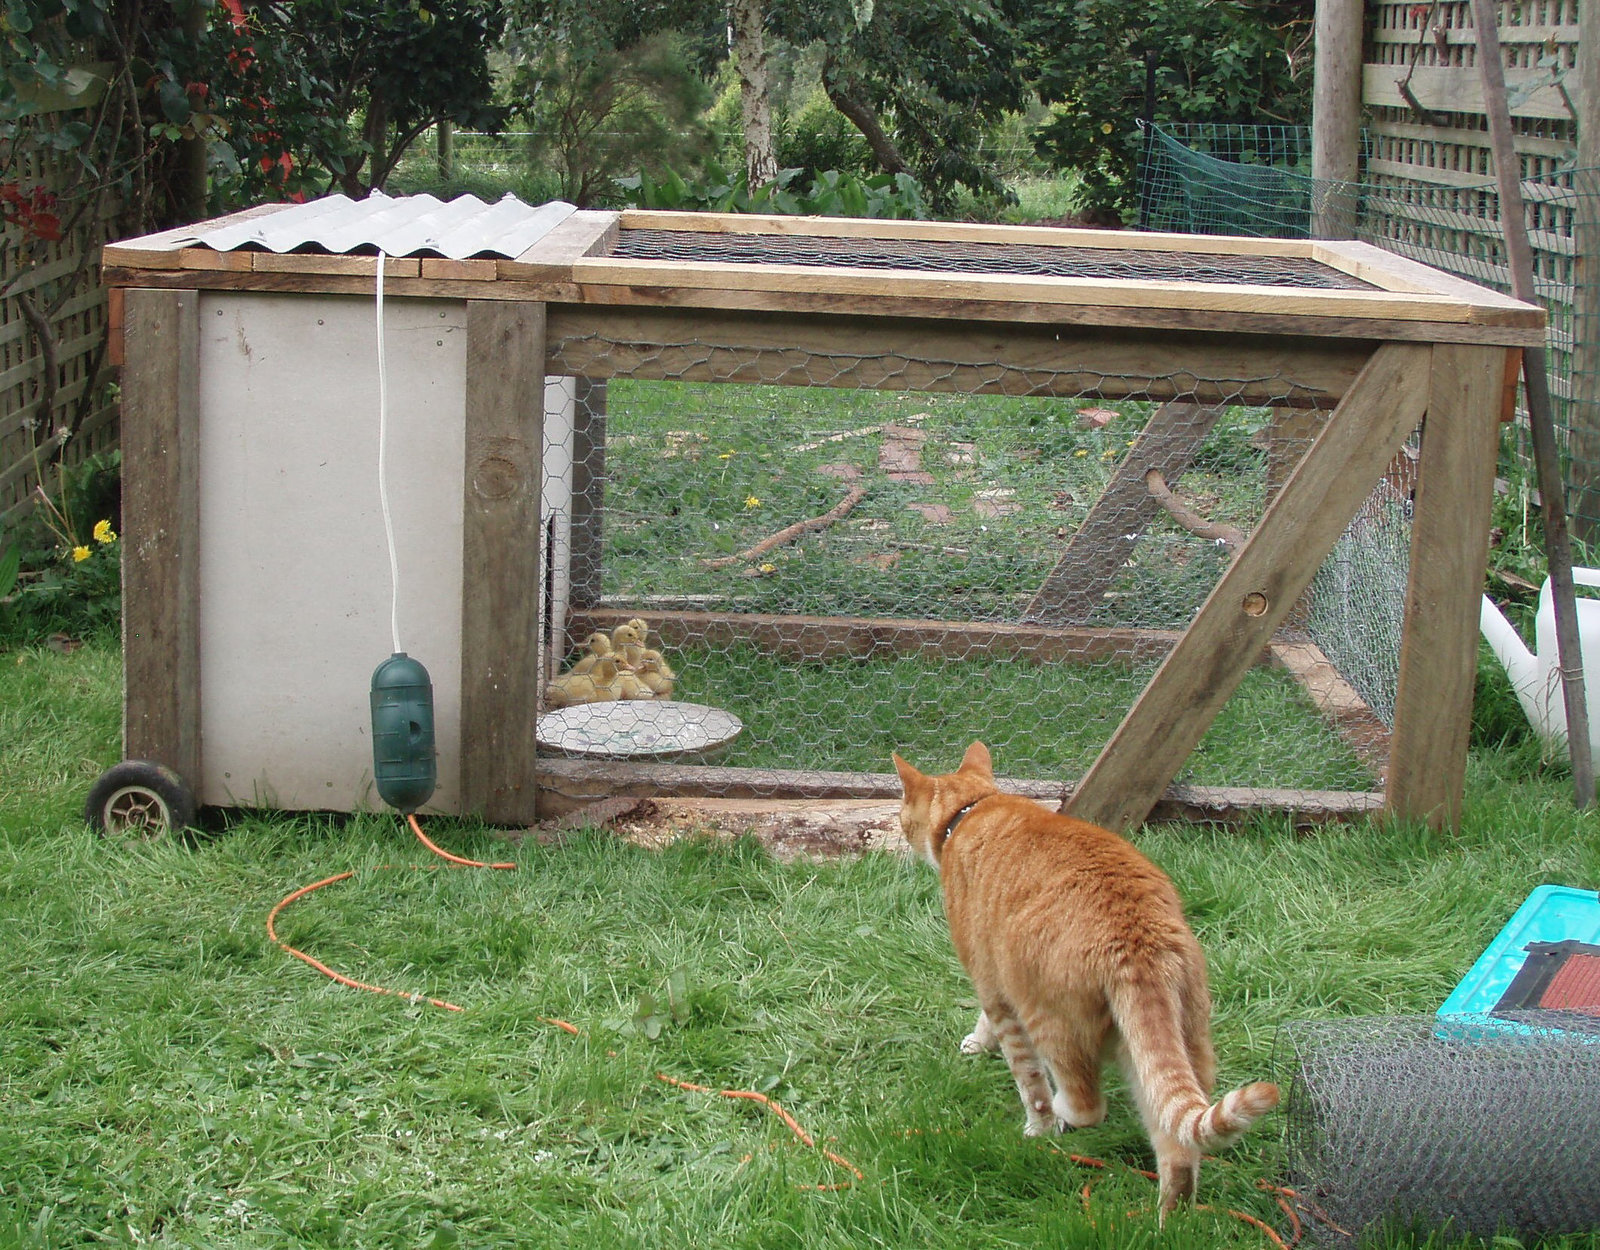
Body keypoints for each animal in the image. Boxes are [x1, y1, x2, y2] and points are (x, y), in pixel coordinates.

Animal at [896, 742, 1280, 1209]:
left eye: (902, 813)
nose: (900, 830)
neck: (973, 810)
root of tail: (1137, 940)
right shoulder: (998, 977)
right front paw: (978, 1042)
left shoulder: (993, 983)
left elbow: (1028, 1080)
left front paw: (1037, 1127)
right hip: (1171, 1048)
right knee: (1179, 1141)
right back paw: (1171, 1218)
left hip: (1054, 1027)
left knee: (1085, 1104)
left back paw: (1062, 1115)